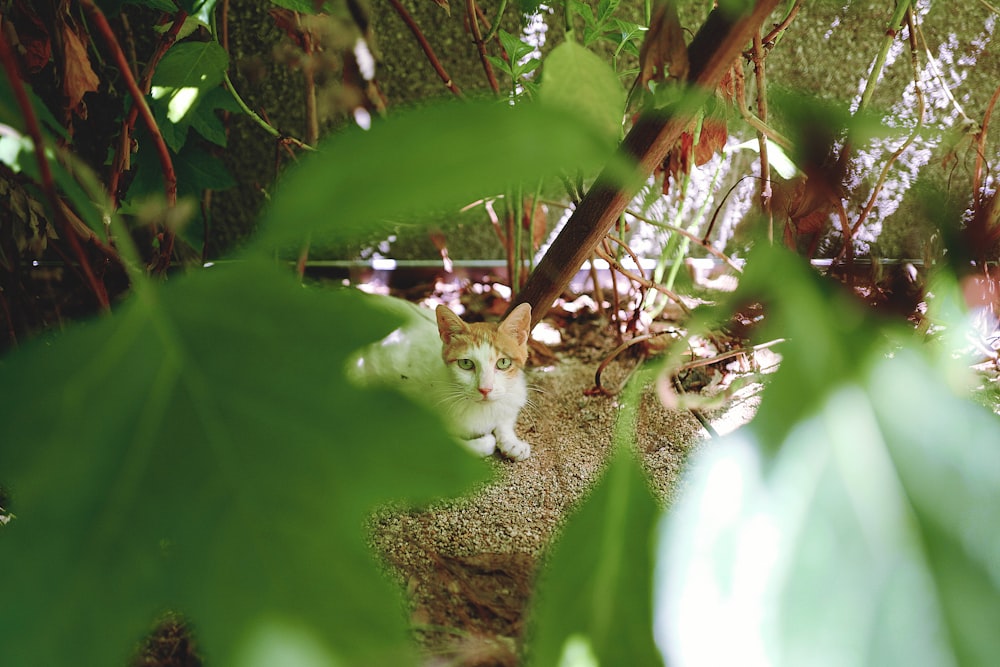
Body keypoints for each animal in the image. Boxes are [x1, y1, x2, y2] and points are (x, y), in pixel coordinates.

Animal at [350, 298, 532, 460]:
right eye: (466, 363)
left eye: (503, 362)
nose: (485, 389)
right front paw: (487, 440)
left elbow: (505, 418)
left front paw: (511, 442)